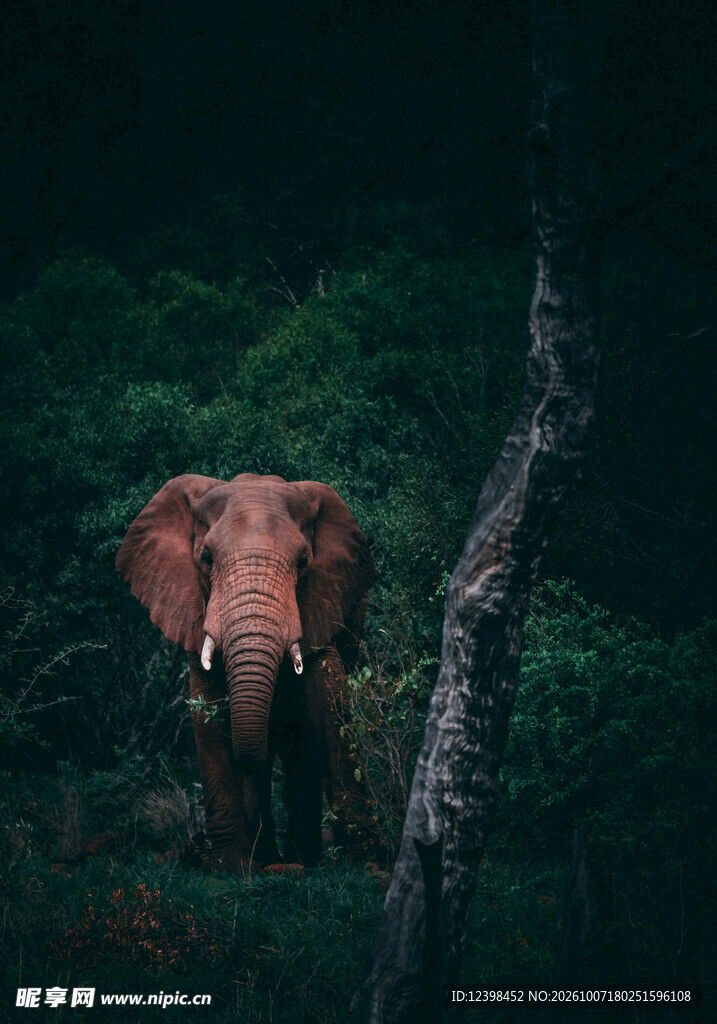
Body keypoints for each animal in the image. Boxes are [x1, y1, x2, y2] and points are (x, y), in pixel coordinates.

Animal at [116, 472, 376, 870]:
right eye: (206, 558)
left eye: (303, 561)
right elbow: (206, 711)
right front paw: (232, 867)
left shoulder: (323, 600)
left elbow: (328, 705)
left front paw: (363, 859)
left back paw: (299, 857)